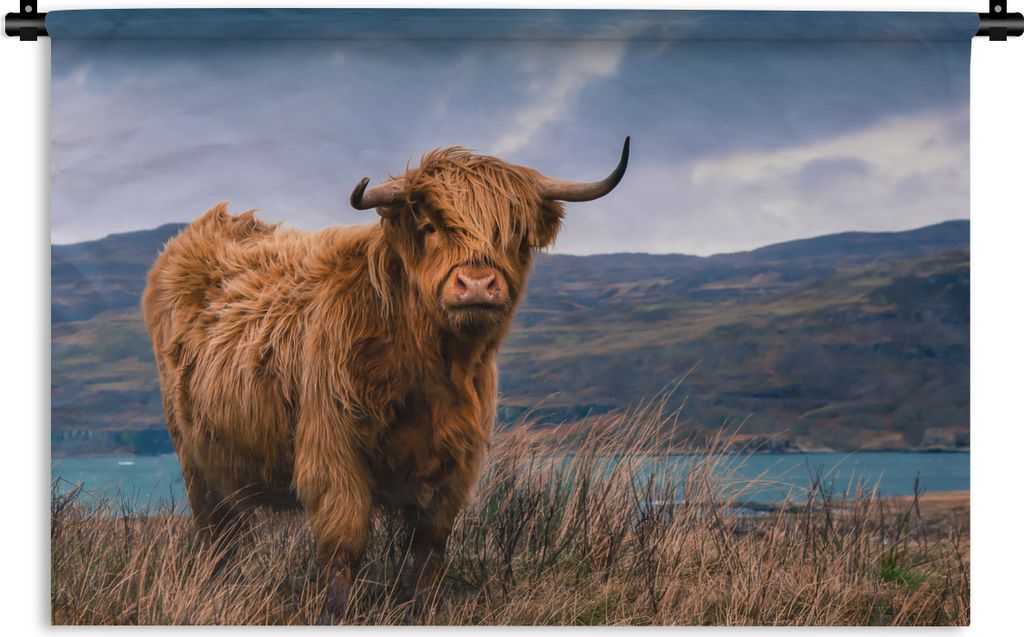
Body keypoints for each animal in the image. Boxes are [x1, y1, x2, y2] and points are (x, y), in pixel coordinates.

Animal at [141, 138, 629, 616]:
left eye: (515, 234)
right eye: (431, 226)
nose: (476, 284)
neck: (428, 366)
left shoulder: (455, 461)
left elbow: (430, 547)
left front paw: (424, 609)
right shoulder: (333, 449)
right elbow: (344, 544)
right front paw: (337, 612)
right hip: (196, 458)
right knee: (218, 534)